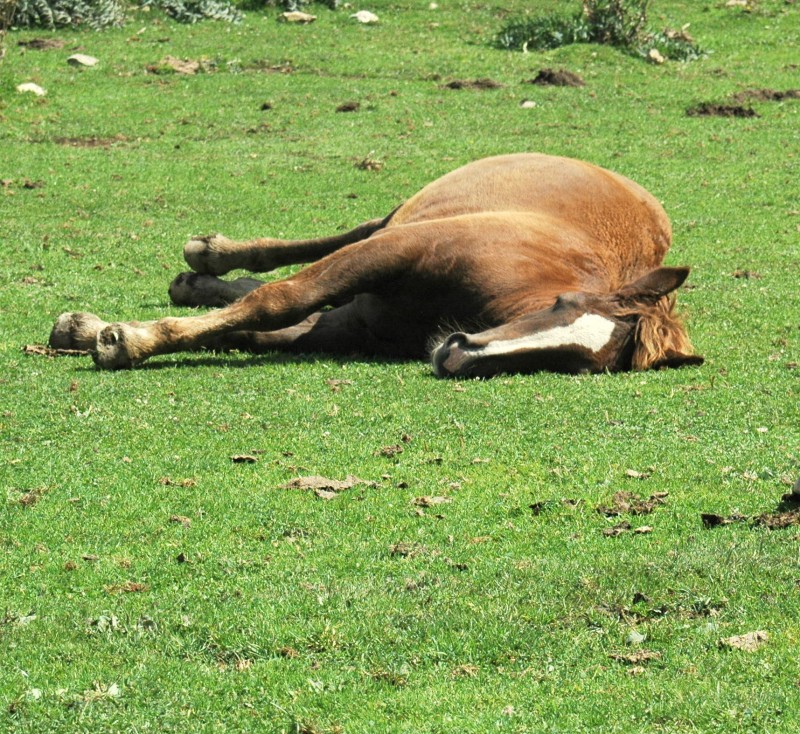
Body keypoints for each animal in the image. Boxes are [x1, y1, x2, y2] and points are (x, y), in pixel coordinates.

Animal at [50, 152, 700, 376]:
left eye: (579, 363)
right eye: (564, 304)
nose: (456, 354)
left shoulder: (352, 321)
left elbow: (258, 323)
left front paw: (106, 332)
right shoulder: (390, 251)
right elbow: (279, 298)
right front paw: (127, 341)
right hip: (392, 222)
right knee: (322, 244)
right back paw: (210, 253)